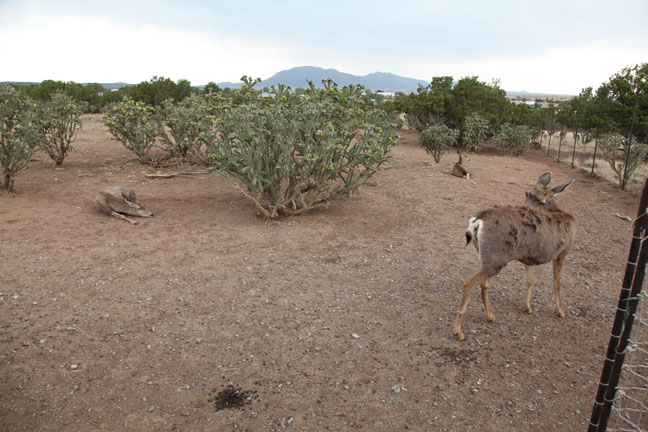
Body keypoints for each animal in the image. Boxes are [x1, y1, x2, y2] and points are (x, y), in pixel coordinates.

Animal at [452, 172, 575, 341]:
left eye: (541, 200)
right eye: (527, 193)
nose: (526, 207)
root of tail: (477, 221)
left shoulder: (530, 258)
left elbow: (530, 281)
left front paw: (527, 307)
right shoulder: (562, 253)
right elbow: (557, 284)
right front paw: (560, 311)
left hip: (486, 256)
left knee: (483, 284)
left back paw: (490, 316)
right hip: (496, 258)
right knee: (469, 283)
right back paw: (458, 331)